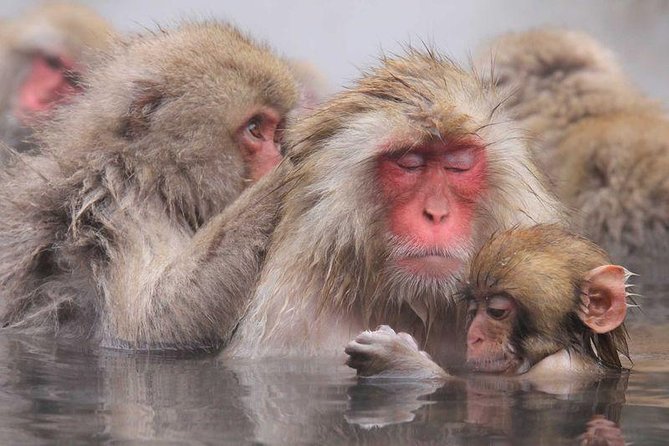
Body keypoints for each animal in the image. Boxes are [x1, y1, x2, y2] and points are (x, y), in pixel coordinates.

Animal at [0, 21, 300, 350]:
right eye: (254, 129)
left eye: (276, 130)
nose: (276, 156)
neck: (153, 174)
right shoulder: (123, 210)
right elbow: (148, 326)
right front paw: (284, 176)